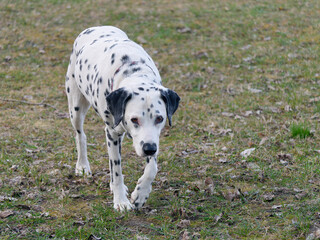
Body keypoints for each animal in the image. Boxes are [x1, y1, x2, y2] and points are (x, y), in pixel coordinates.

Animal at [65, 25, 180, 211]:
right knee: (80, 135)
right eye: (134, 119)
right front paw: (120, 201)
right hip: (76, 107)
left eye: (159, 119)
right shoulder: (112, 132)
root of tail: (96, 27)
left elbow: (152, 168)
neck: (133, 72)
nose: (149, 149)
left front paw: (141, 193)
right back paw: (82, 165)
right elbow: (117, 170)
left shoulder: (150, 139)